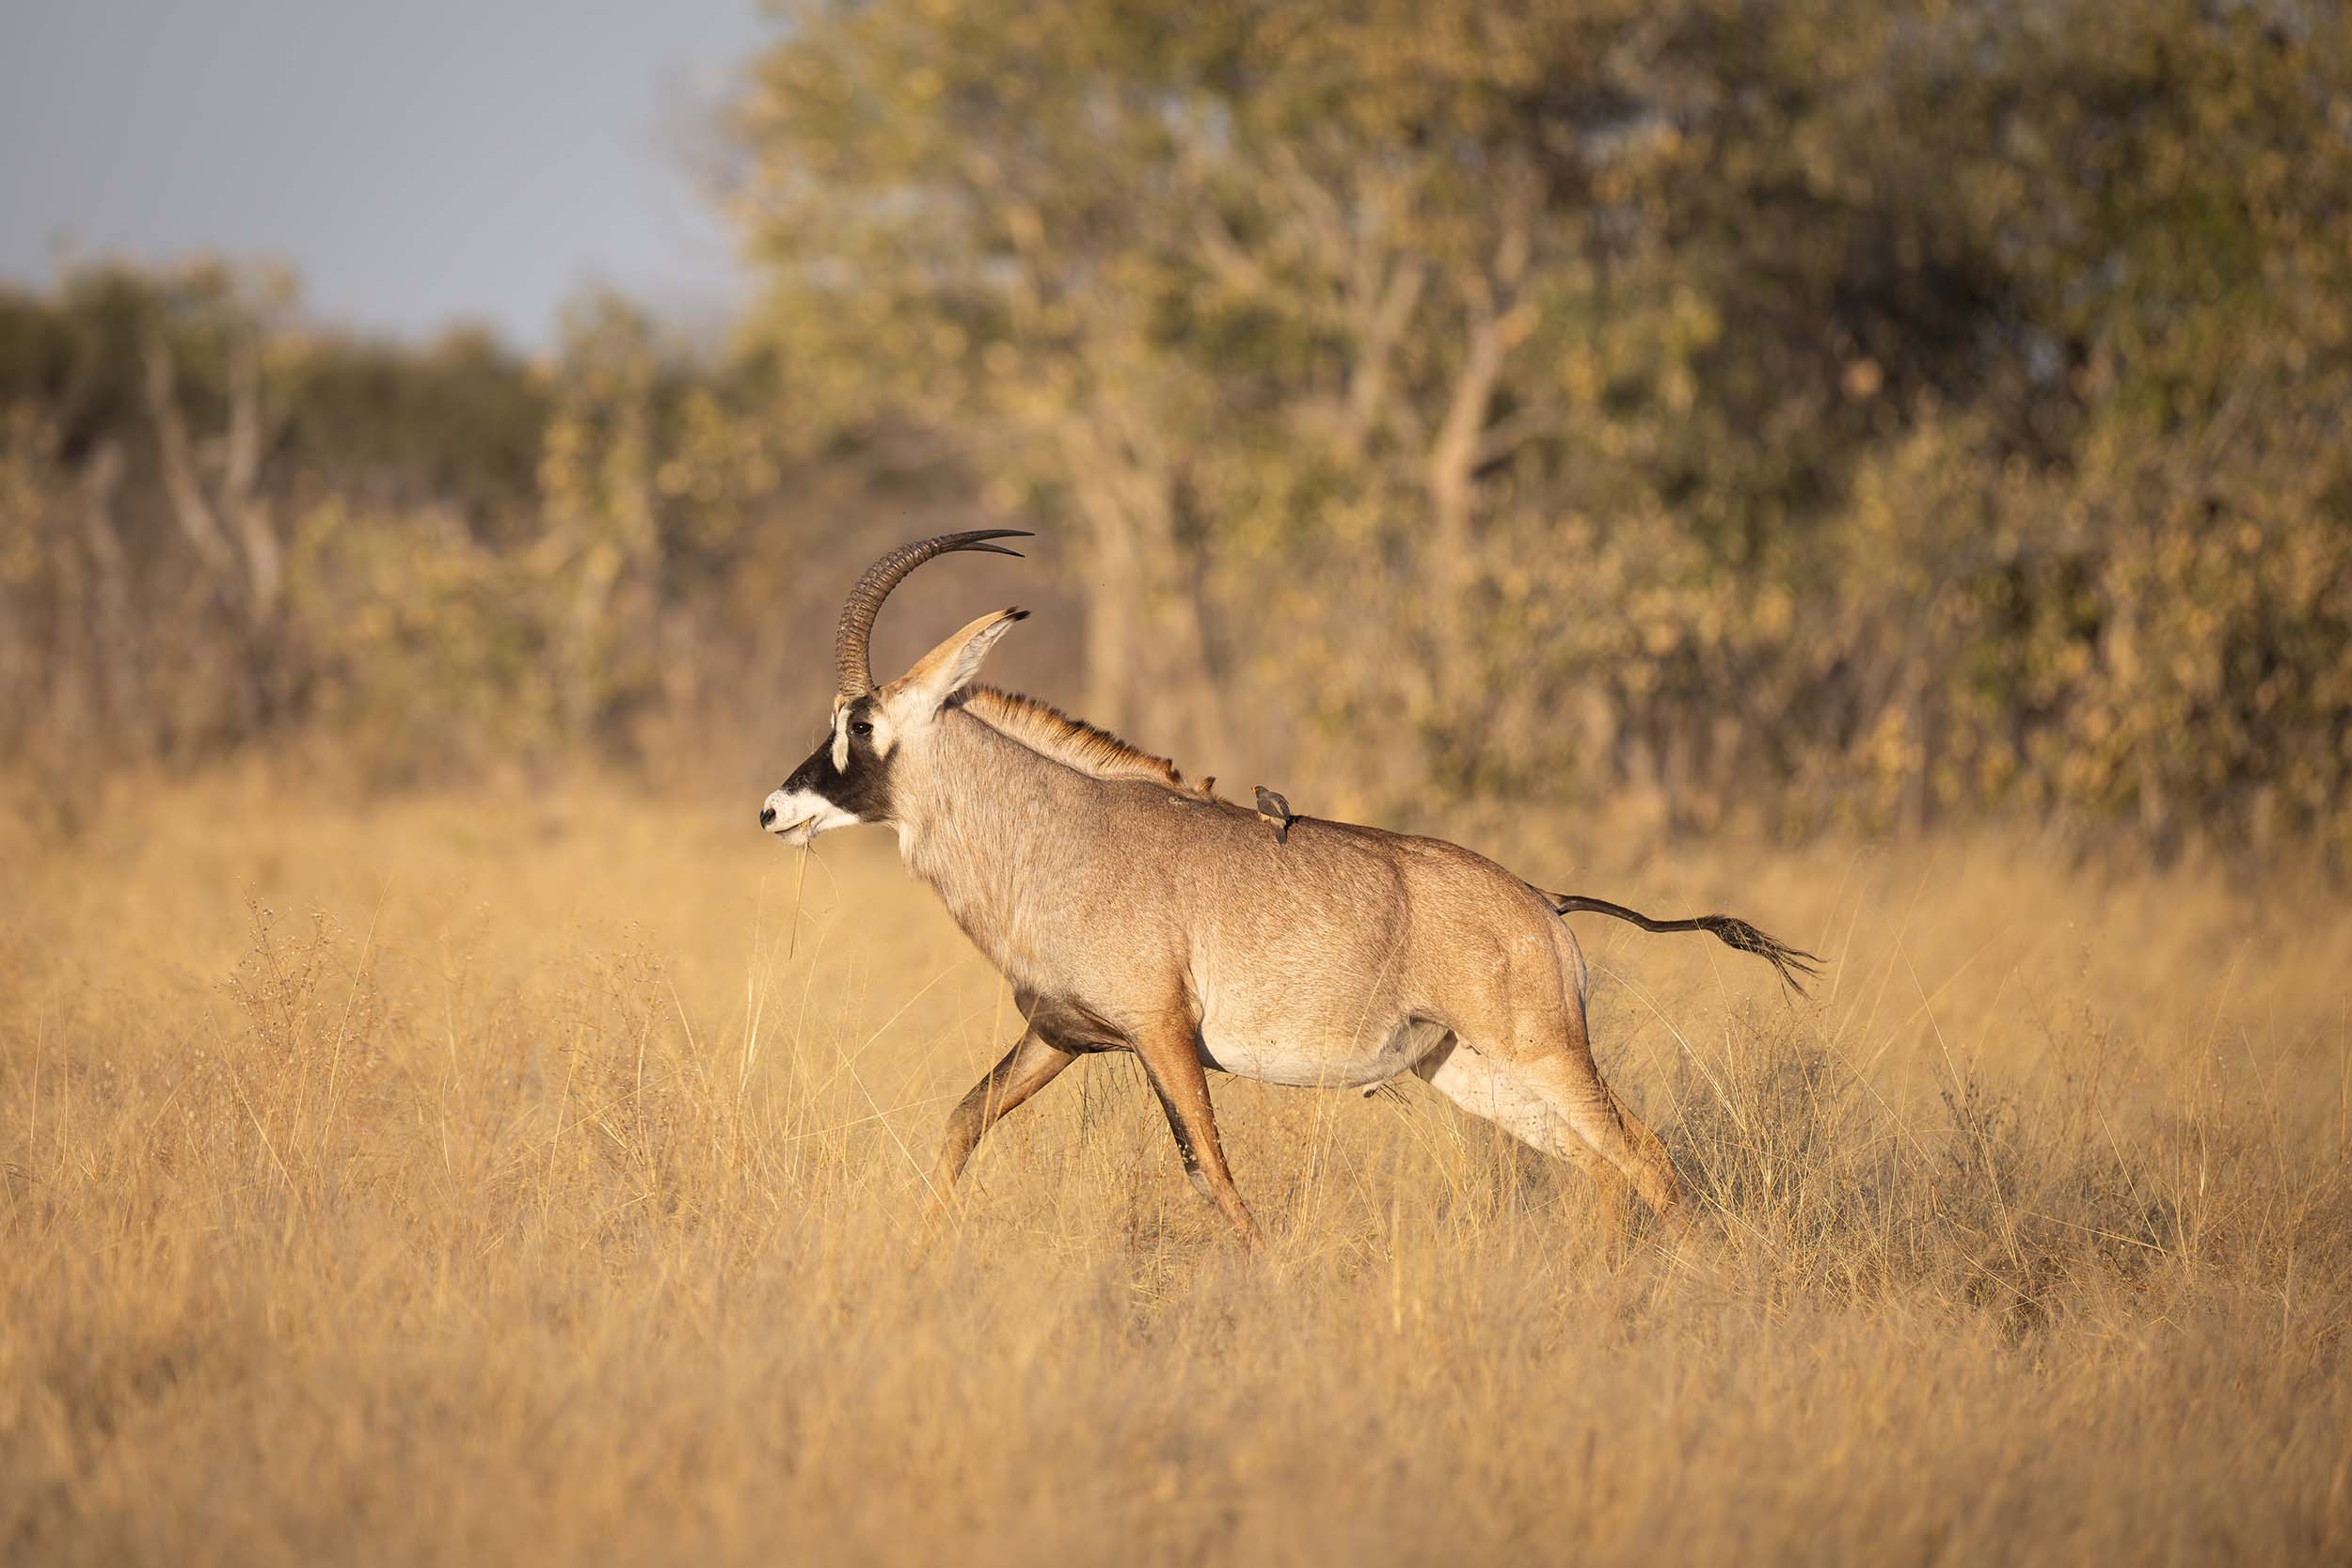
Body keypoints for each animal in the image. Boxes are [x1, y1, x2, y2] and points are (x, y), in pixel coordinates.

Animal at [761, 532, 1818, 1247]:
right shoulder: (1062, 1034)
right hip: (1465, 1067)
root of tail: (1543, 904)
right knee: (1601, 1170)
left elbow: (1210, 1172)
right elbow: (961, 1123)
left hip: (1543, 1050)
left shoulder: (1163, 1035)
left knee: (1644, 1154)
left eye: (860, 723)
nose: (774, 809)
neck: (1056, 830)